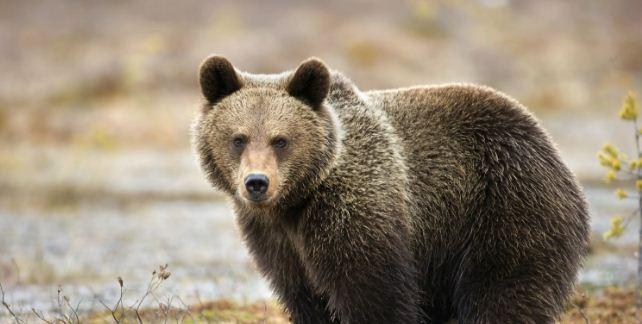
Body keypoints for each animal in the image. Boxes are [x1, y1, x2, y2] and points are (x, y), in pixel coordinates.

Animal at [192, 56, 588, 324]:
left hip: (506, 206)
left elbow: (373, 294)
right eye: (239, 138)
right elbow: (306, 298)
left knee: (504, 293)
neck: (296, 201)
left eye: (281, 140)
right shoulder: (278, 242)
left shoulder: (355, 210)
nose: (257, 183)